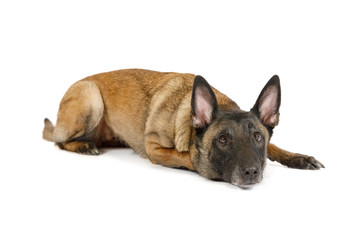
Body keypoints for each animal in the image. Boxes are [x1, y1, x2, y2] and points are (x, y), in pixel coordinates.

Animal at [43, 68, 324, 188]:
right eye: (223, 140)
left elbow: (275, 146)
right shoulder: (154, 148)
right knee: (59, 140)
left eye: (257, 137)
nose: (252, 173)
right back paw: (83, 145)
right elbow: (187, 157)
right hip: (92, 98)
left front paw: (298, 158)